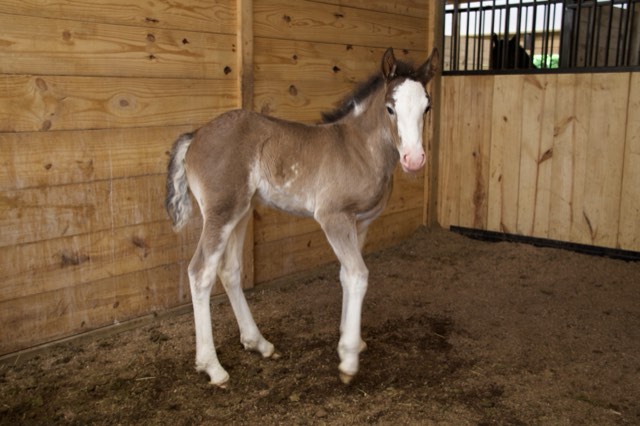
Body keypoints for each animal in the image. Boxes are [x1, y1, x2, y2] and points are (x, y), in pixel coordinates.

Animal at [165, 47, 439, 387]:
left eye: (427, 107)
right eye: (390, 108)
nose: (414, 159)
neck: (358, 149)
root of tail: (196, 135)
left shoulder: (359, 222)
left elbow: (347, 274)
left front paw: (351, 340)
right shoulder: (333, 217)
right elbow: (358, 274)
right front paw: (348, 360)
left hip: (242, 212)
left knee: (229, 271)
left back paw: (259, 343)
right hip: (222, 212)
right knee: (200, 272)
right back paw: (213, 368)